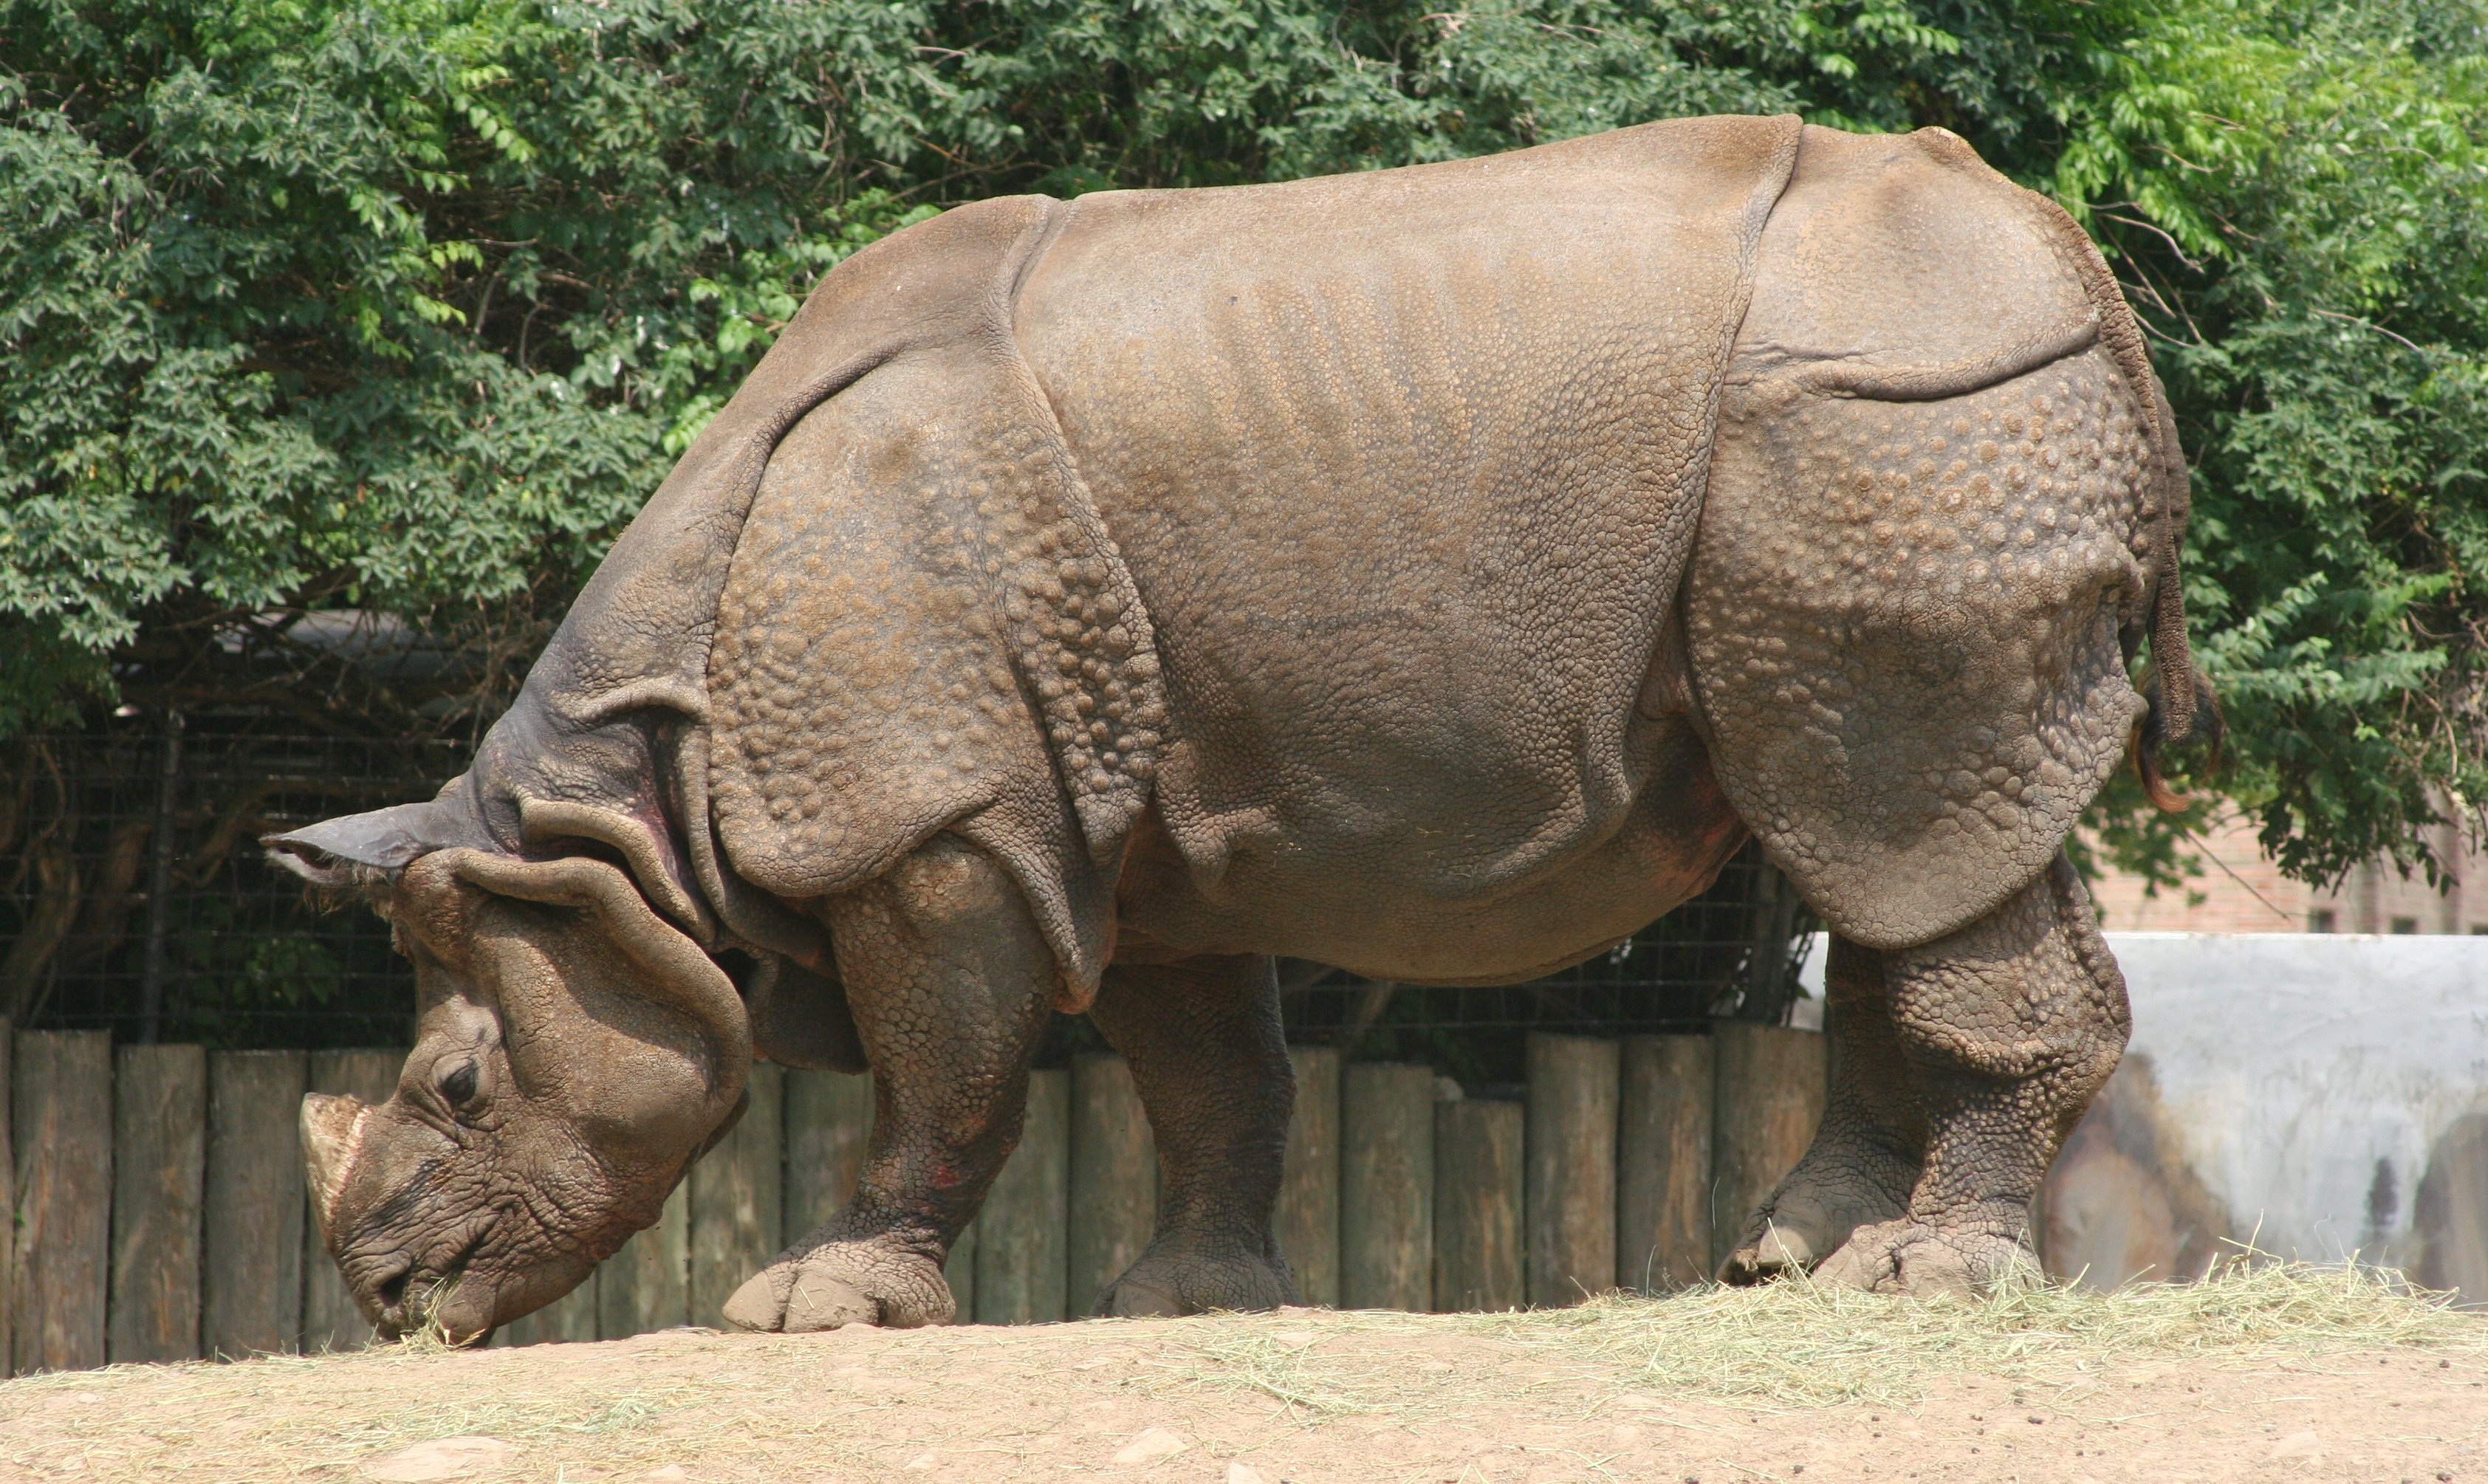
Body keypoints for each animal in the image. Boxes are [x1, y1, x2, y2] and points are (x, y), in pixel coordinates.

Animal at [267, 113, 2215, 1342]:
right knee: (1878, 837)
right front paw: (1181, 1302)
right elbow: (1211, 1072)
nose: (388, 1300)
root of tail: (2074, 265)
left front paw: (811, 1309)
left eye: (455, 1088)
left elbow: (938, 1074)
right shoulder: (1136, 826)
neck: (620, 821)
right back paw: (1793, 1269)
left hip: (1900, 430)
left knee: (1900, 813)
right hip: (1892, 443)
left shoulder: (934, 821)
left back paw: (1922, 1283)